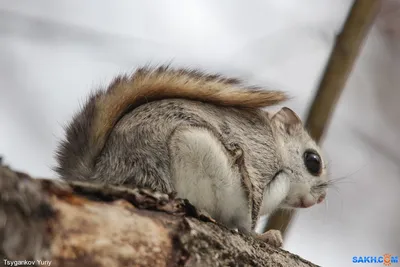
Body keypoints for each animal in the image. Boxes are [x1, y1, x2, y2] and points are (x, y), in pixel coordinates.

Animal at [55, 65, 328, 249]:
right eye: (313, 161)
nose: (321, 199)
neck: (280, 150)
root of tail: (101, 173)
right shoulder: (259, 157)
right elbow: (248, 218)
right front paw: (262, 236)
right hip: (192, 147)